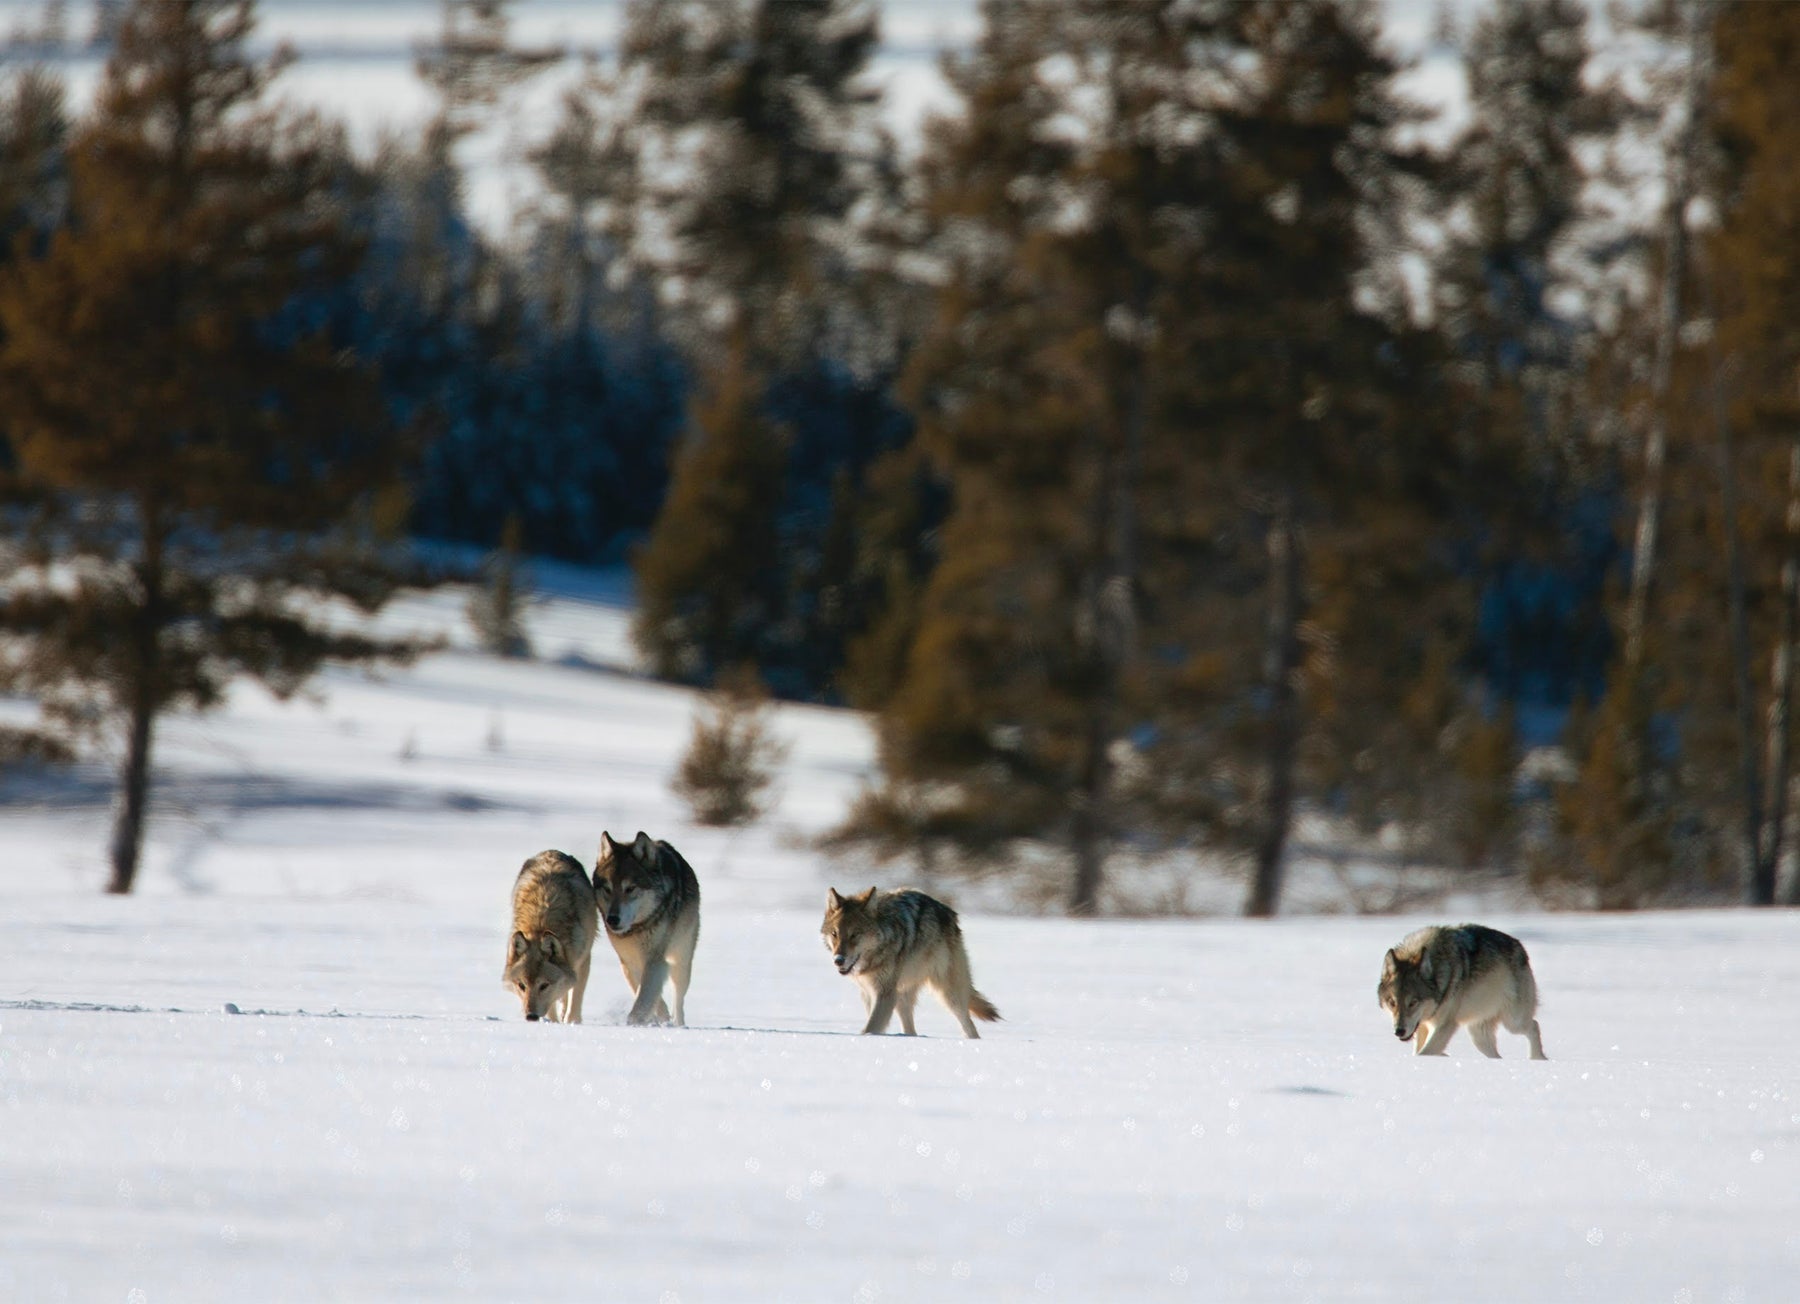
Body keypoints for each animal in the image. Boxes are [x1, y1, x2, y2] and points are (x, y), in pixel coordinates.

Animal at [504, 850, 601, 1023]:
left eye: (544, 985)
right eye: (522, 985)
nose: (531, 1016)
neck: (541, 924)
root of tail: (551, 851)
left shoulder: (583, 960)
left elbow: (575, 1000)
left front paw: (572, 1022)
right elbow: (552, 1008)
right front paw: (554, 1024)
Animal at [594, 828, 698, 1023]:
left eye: (630, 888)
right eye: (607, 889)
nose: (612, 919)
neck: (637, 929)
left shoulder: (656, 959)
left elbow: (644, 998)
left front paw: (637, 1021)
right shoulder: (629, 962)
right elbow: (647, 995)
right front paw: (657, 1017)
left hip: (681, 960)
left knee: (679, 999)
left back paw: (678, 1023)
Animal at [820, 886, 1000, 1037]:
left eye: (855, 934)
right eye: (835, 934)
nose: (838, 960)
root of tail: (949, 912)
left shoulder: (884, 992)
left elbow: (871, 1028)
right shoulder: (869, 993)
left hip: (948, 995)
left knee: (969, 1026)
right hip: (901, 996)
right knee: (911, 1031)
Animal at [1375, 929, 1548, 1059]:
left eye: (1413, 1002)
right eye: (1392, 1002)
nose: (1399, 1031)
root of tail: (1521, 947)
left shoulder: (1446, 1025)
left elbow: (1424, 1052)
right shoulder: (1423, 1026)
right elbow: (1420, 1051)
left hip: (1513, 1022)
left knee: (1534, 1025)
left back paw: (1537, 1058)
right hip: (1479, 1036)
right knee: (1497, 1055)